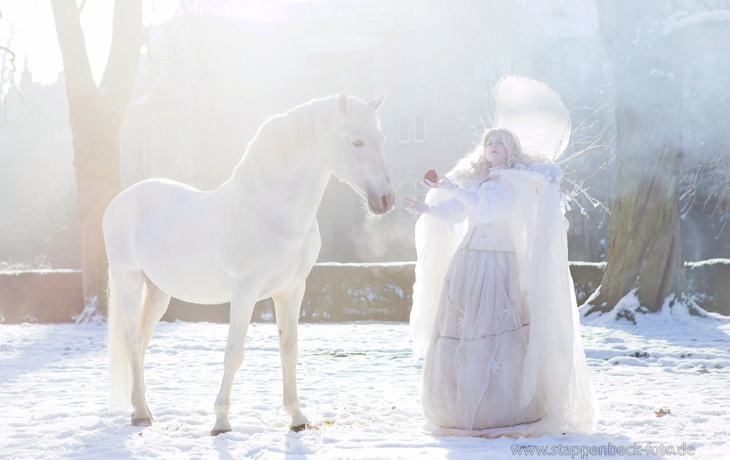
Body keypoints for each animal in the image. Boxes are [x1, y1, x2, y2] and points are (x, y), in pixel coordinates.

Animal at [104, 91, 392, 434]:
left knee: (143, 341)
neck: (272, 212)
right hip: (130, 283)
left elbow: (289, 350)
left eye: (380, 139)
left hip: (159, 292)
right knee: (133, 341)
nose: (387, 200)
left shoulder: (291, 291)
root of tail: (119, 202)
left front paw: (298, 418)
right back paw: (140, 413)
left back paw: (145, 409)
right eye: (357, 142)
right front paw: (221, 422)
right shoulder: (245, 291)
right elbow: (234, 353)